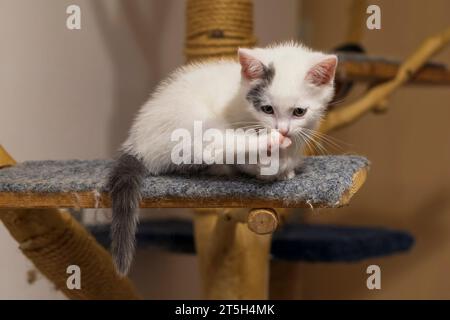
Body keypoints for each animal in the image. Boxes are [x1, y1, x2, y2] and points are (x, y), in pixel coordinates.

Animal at [107, 41, 336, 274]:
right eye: (267, 109)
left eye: (299, 112)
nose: (282, 130)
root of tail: (138, 141)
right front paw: (269, 166)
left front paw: (287, 168)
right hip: (194, 125)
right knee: (215, 147)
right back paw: (259, 148)